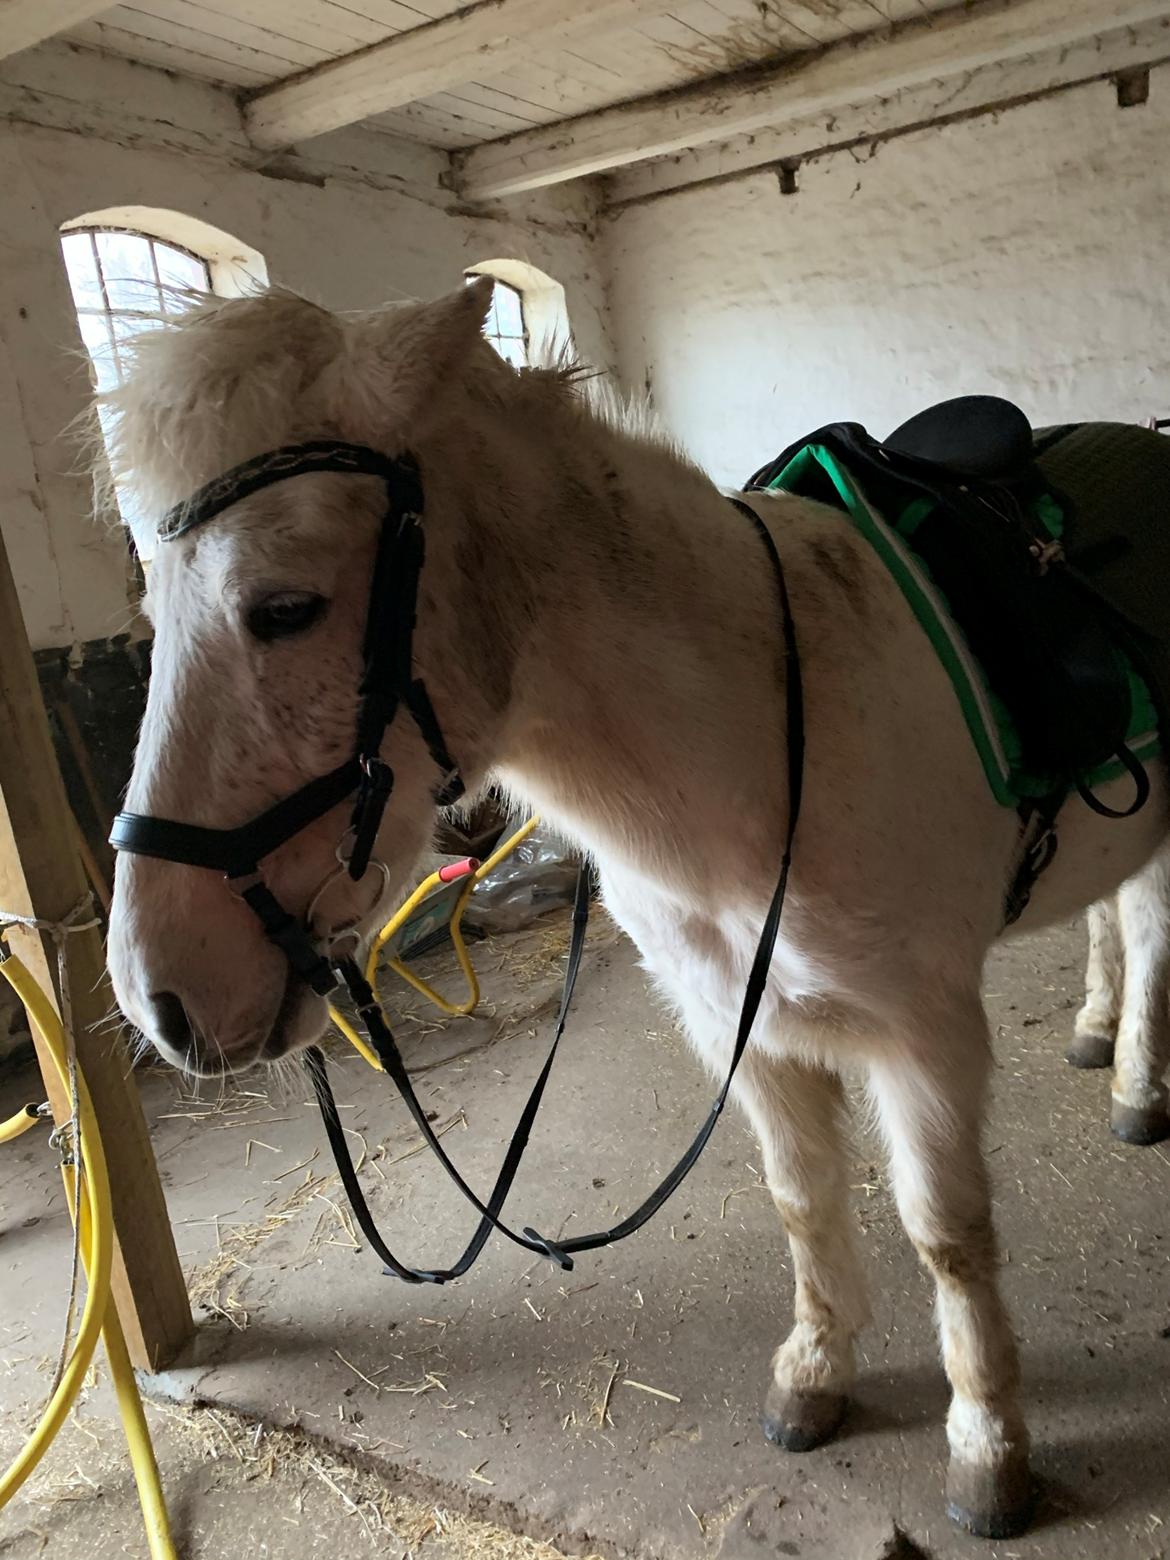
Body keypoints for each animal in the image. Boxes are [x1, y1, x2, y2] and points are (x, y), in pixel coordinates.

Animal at [105, 280, 1166, 1535]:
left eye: (284, 608)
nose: (161, 997)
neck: (762, 744)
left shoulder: (927, 1038)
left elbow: (948, 1237)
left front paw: (989, 1450)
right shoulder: (736, 1027)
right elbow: (802, 1199)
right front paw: (816, 1375)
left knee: (1150, 928)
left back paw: (1139, 1086)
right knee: (1112, 916)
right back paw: (1100, 1034)